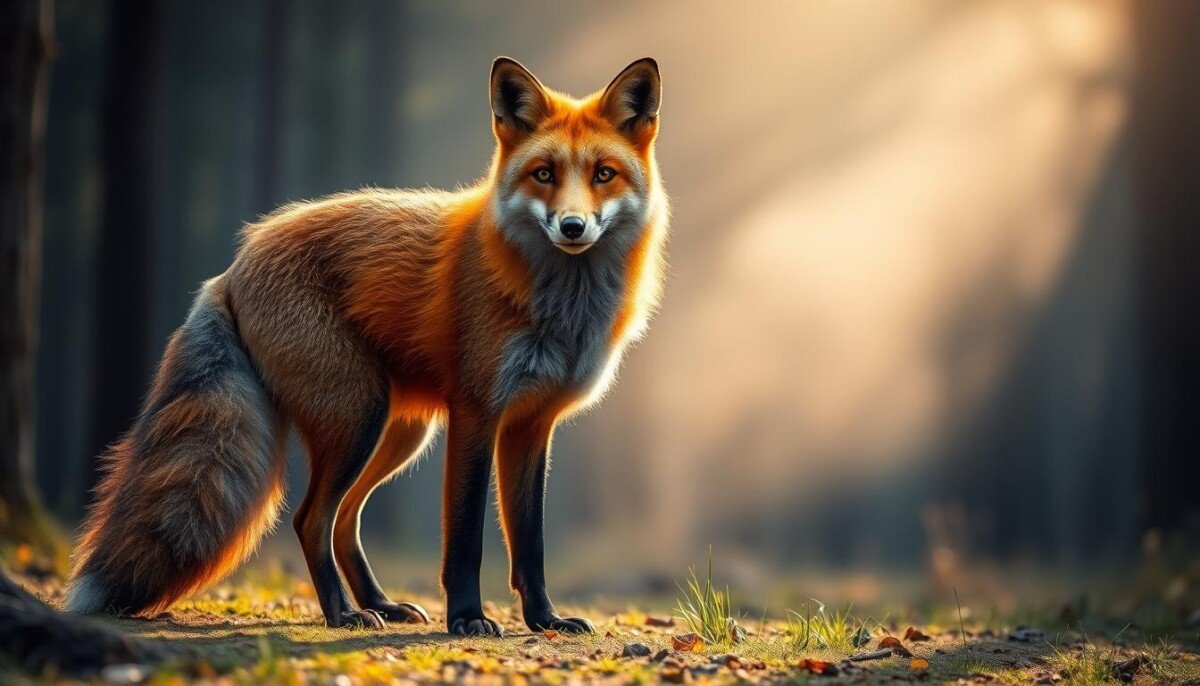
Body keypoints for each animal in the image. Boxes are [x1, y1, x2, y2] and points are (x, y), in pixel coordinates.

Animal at [64, 57, 667, 636]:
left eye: (604, 175)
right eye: (544, 174)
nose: (572, 226)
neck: (560, 307)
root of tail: (234, 265)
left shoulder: (530, 425)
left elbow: (530, 543)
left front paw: (545, 620)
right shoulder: (477, 412)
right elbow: (466, 539)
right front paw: (467, 619)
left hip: (397, 430)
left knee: (345, 520)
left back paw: (379, 603)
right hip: (359, 414)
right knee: (311, 518)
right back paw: (343, 613)